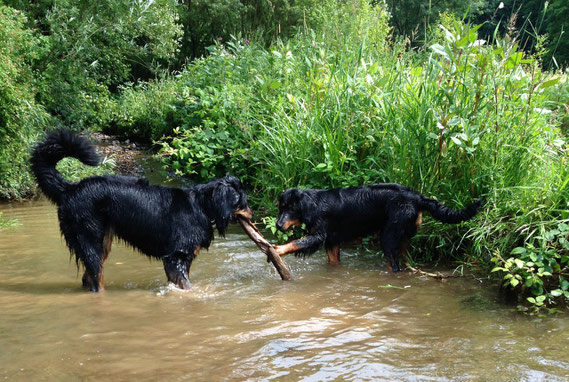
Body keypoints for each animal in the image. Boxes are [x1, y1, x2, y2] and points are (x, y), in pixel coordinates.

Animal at [31, 130, 251, 290]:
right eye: (244, 201)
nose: (253, 213)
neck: (203, 206)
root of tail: (70, 188)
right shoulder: (176, 257)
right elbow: (187, 287)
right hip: (89, 240)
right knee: (95, 280)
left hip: (102, 243)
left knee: (88, 278)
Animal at [272, 184, 482, 272]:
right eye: (280, 208)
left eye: (291, 209)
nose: (278, 225)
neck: (314, 204)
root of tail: (417, 197)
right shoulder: (332, 242)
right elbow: (333, 262)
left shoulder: (319, 236)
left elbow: (296, 243)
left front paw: (277, 250)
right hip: (402, 237)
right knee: (405, 261)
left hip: (388, 237)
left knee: (394, 267)